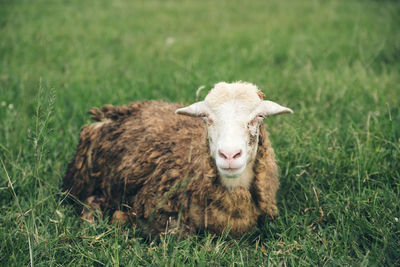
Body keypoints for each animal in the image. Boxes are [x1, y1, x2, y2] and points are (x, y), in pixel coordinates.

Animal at [63, 82, 294, 239]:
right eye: (206, 118)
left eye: (259, 117)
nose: (229, 155)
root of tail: (109, 113)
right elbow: (177, 232)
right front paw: (120, 219)